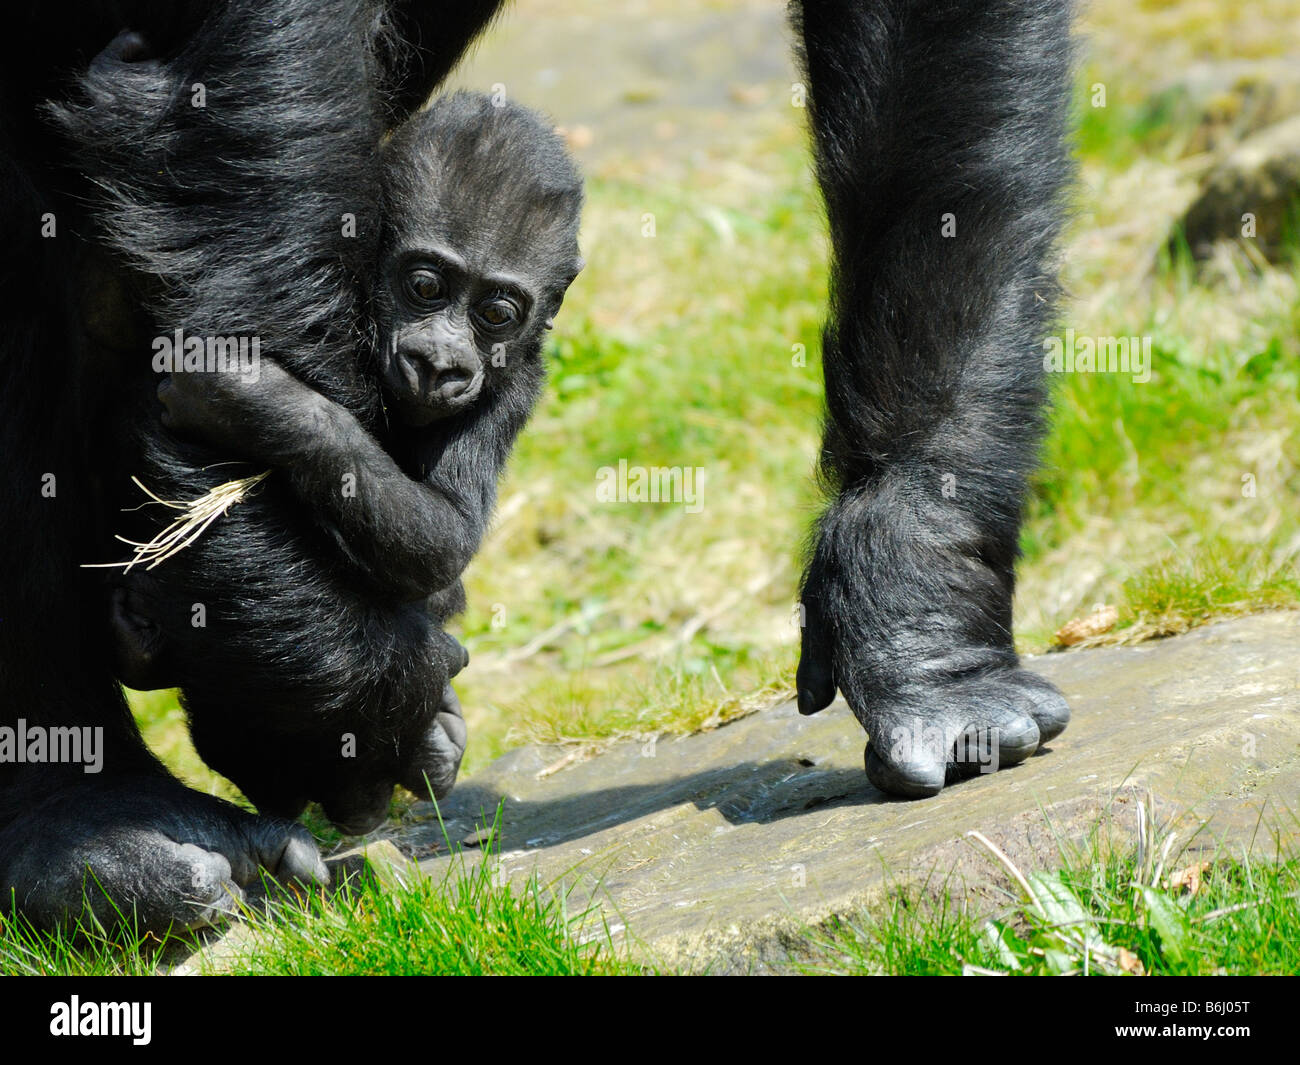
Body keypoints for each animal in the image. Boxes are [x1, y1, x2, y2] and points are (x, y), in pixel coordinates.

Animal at [114, 95, 582, 832]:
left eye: (497, 313)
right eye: (425, 285)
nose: (439, 363)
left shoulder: (514, 384)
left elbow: (445, 539)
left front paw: (261, 401)